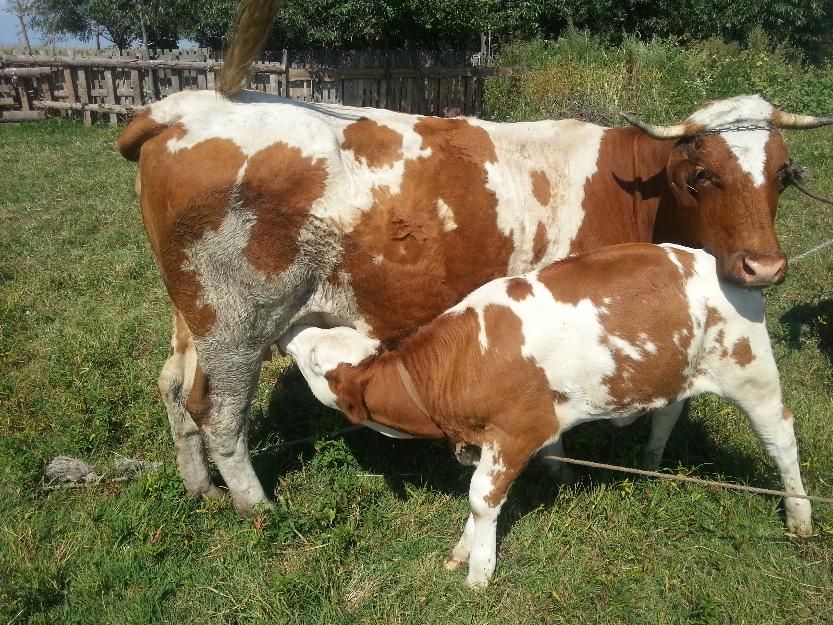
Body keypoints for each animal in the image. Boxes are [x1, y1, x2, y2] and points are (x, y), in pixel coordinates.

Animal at [116, 1, 833, 513]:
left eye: (781, 173)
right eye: (701, 175)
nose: (764, 269)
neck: (626, 188)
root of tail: (186, 106)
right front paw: (557, 464)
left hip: (195, 316)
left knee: (174, 387)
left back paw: (200, 488)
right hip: (239, 325)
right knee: (219, 413)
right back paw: (254, 505)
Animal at [279, 243, 813, 587]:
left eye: (317, 361)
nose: (289, 332)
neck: (453, 368)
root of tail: (718, 259)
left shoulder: (521, 429)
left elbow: (480, 499)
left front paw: (479, 575)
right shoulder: (488, 441)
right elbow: (481, 496)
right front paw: (463, 552)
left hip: (751, 372)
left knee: (781, 436)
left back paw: (799, 518)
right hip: (678, 368)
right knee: (669, 413)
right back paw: (652, 461)